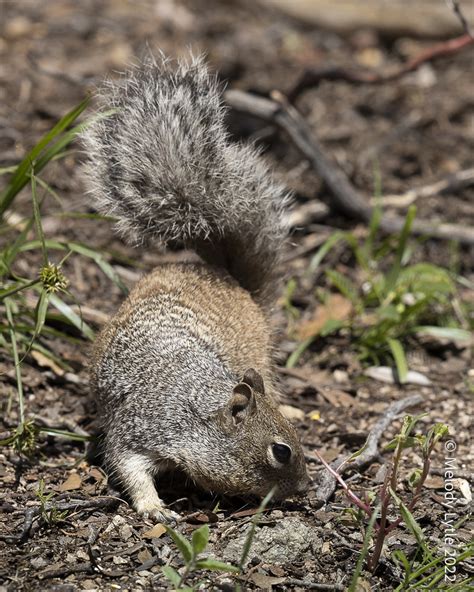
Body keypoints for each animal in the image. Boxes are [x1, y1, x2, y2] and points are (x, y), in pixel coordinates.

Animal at [81, 54, 312, 524]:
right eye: (280, 451)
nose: (307, 488)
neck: (198, 411)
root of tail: (228, 278)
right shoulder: (139, 428)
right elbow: (127, 465)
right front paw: (155, 508)